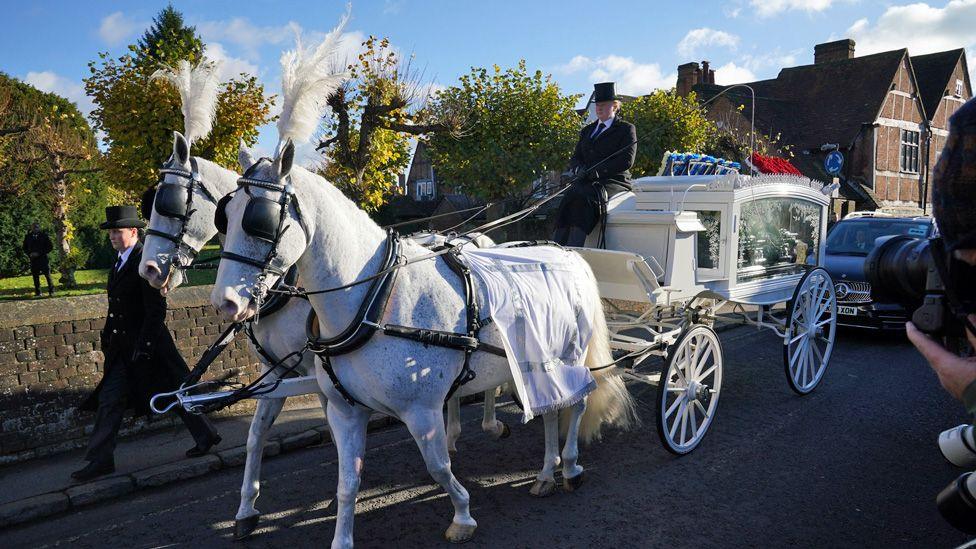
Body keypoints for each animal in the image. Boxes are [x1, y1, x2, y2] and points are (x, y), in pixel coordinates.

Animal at [212, 17, 632, 548]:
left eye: (262, 221)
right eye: (225, 215)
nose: (225, 302)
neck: (372, 301)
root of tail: (567, 253)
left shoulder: (422, 411)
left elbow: (437, 467)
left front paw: (463, 516)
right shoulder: (345, 410)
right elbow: (347, 483)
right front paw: (341, 536)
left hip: (572, 354)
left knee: (575, 406)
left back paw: (570, 466)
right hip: (535, 362)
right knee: (552, 408)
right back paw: (545, 472)